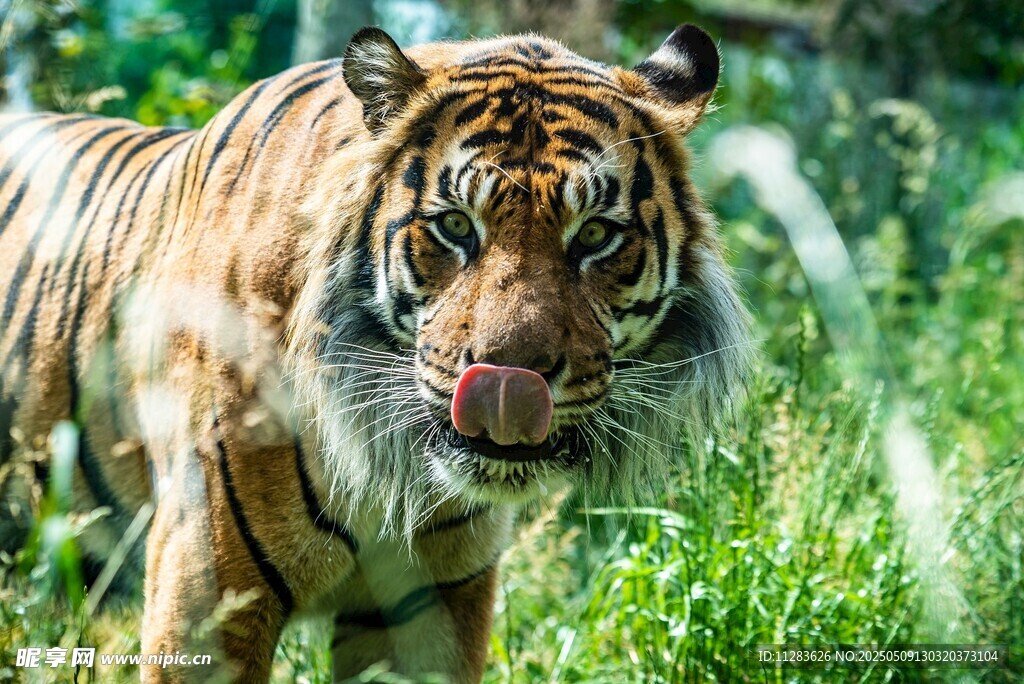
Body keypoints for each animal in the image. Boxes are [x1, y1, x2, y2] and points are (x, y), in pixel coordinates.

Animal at [0, 23, 750, 683]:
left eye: (594, 234)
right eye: (455, 226)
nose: (512, 381)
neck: (393, 469)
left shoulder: (433, 607)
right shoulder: (207, 591)